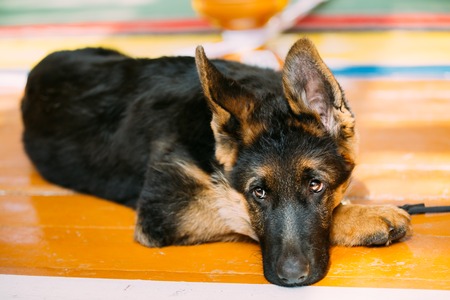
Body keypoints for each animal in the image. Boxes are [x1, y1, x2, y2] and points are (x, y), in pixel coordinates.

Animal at [21, 38, 410, 288]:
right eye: (258, 193)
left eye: (316, 185)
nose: (291, 278)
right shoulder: (167, 210)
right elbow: (233, 209)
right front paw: (362, 216)